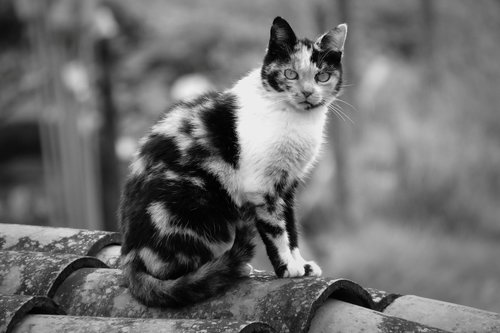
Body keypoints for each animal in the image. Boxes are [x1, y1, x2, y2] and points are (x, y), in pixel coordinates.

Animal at [118, 15, 346, 306]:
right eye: (290, 74)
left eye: (322, 76)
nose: (307, 93)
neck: (296, 119)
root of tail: (129, 256)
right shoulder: (262, 187)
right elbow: (276, 230)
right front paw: (288, 268)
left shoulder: (287, 185)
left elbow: (292, 228)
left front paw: (301, 264)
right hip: (194, 203)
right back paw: (225, 268)